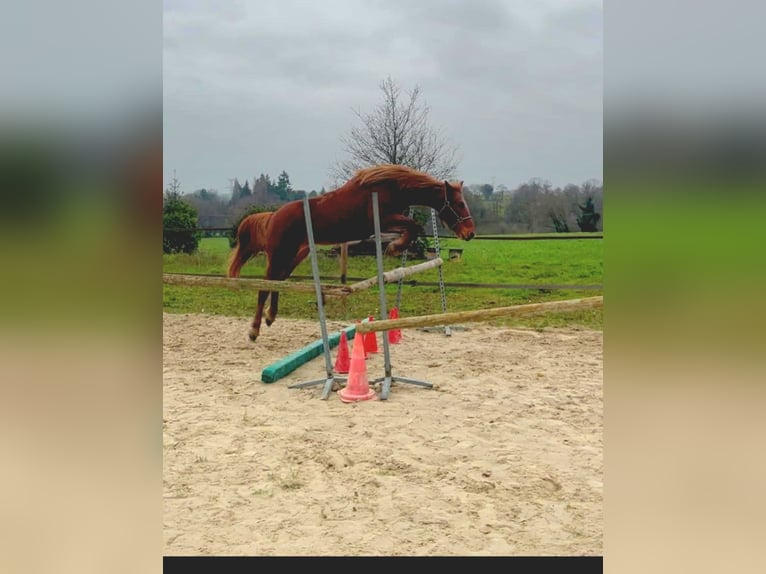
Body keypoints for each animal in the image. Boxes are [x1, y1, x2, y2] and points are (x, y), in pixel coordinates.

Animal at [243, 163, 476, 342]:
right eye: (459, 204)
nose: (470, 233)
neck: (394, 187)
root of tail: (274, 216)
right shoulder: (384, 219)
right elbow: (414, 225)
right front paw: (394, 247)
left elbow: (411, 228)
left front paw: (395, 246)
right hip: (280, 254)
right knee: (266, 285)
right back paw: (254, 329)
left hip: (293, 254)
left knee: (277, 281)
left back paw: (270, 316)